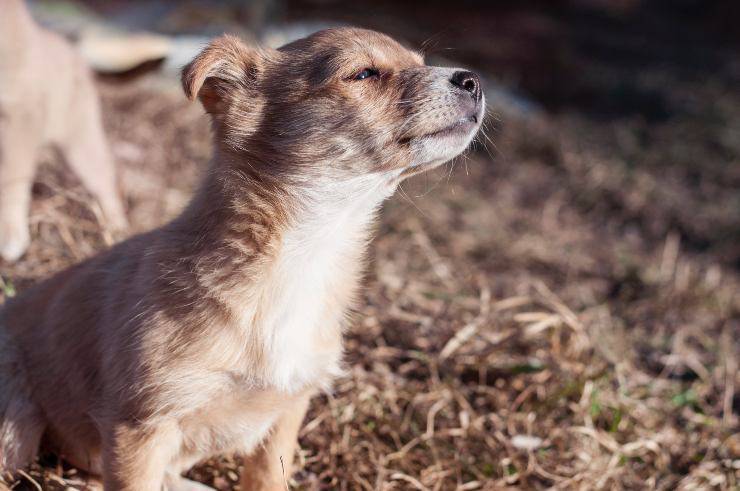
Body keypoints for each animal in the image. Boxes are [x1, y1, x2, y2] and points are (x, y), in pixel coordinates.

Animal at [0, 0, 126, 262]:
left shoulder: (20, 114)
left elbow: (11, 178)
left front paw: (10, 232)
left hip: (80, 141)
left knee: (104, 180)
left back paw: (115, 229)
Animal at [0, 27, 486, 491]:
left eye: (420, 62)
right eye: (364, 74)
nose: (473, 80)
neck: (304, 254)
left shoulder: (288, 409)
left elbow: (268, 477)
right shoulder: (140, 426)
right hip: (16, 431)